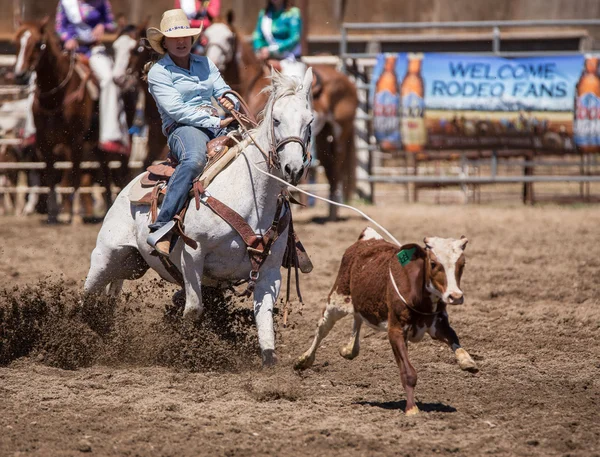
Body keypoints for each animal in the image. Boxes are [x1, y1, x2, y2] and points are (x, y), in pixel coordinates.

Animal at [86, 67, 316, 366]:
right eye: (276, 120)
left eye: (309, 121)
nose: (293, 168)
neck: (253, 198)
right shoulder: (192, 255)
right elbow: (194, 310)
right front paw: (184, 352)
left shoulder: (269, 271)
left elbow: (264, 318)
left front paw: (268, 359)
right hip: (107, 255)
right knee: (87, 295)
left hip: (131, 264)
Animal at [204, 15, 358, 220]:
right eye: (206, 36)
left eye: (229, 38)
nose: (213, 60)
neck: (250, 85)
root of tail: (346, 79)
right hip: (324, 136)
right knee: (330, 166)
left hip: (341, 132)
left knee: (337, 167)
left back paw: (333, 214)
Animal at [296, 226, 478, 416]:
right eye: (434, 263)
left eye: (462, 264)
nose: (455, 296)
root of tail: (367, 239)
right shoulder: (395, 331)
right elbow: (408, 372)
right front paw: (411, 408)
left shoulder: (438, 324)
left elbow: (453, 337)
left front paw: (467, 361)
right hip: (338, 298)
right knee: (323, 327)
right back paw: (304, 359)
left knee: (357, 317)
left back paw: (349, 349)